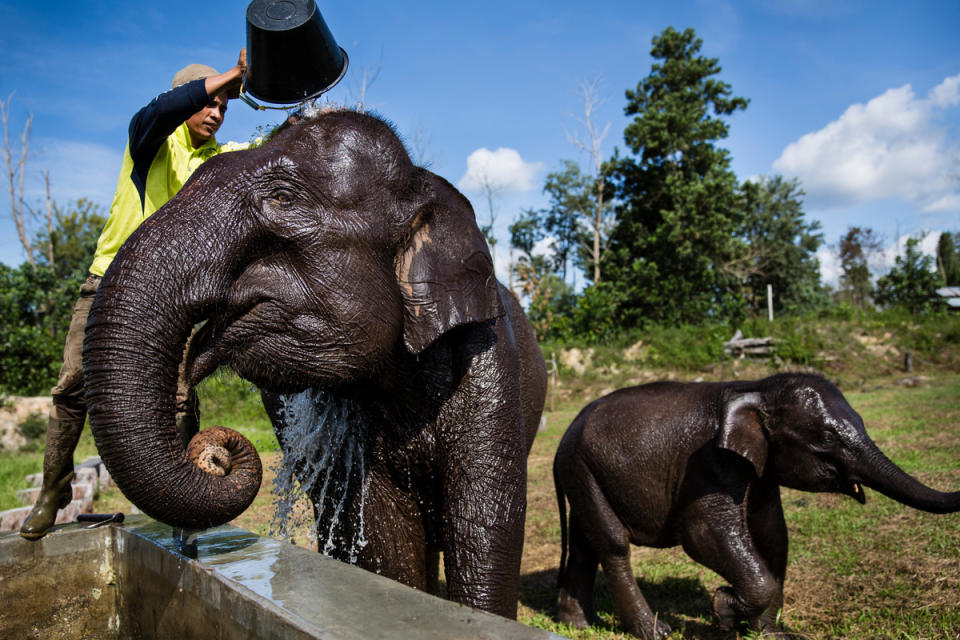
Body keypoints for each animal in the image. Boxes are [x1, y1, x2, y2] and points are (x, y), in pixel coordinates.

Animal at [552, 372, 960, 636]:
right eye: (827, 436)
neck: (756, 388)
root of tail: (564, 437)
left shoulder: (761, 473)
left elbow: (773, 535)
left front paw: (768, 633)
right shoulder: (710, 464)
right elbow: (702, 534)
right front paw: (723, 610)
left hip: (584, 474)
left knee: (586, 544)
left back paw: (580, 625)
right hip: (583, 469)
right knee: (613, 544)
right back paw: (655, 632)